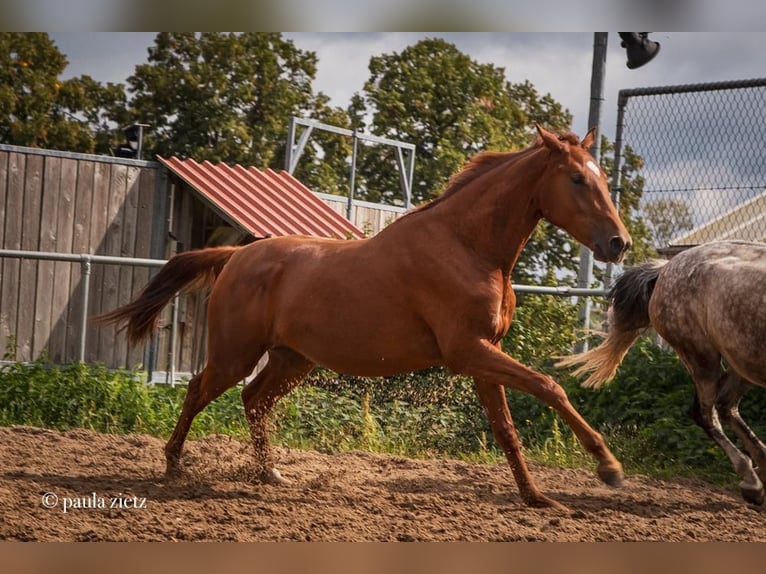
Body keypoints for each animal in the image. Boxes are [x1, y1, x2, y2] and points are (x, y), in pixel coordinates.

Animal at [96, 125, 631, 510]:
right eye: (577, 178)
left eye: (604, 178)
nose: (619, 243)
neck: (468, 246)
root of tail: (236, 256)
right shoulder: (468, 353)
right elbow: (550, 386)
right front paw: (609, 468)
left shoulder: (485, 354)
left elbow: (506, 430)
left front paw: (537, 498)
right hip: (235, 354)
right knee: (198, 390)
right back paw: (173, 466)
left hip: (292, 359)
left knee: (254, 400)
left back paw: (270, 472)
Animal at [557, 240, 766, 505]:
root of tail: (663, 270)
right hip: (701, 356)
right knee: (706, 413)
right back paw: (753, 482)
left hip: (742, 363)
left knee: (725, 406)